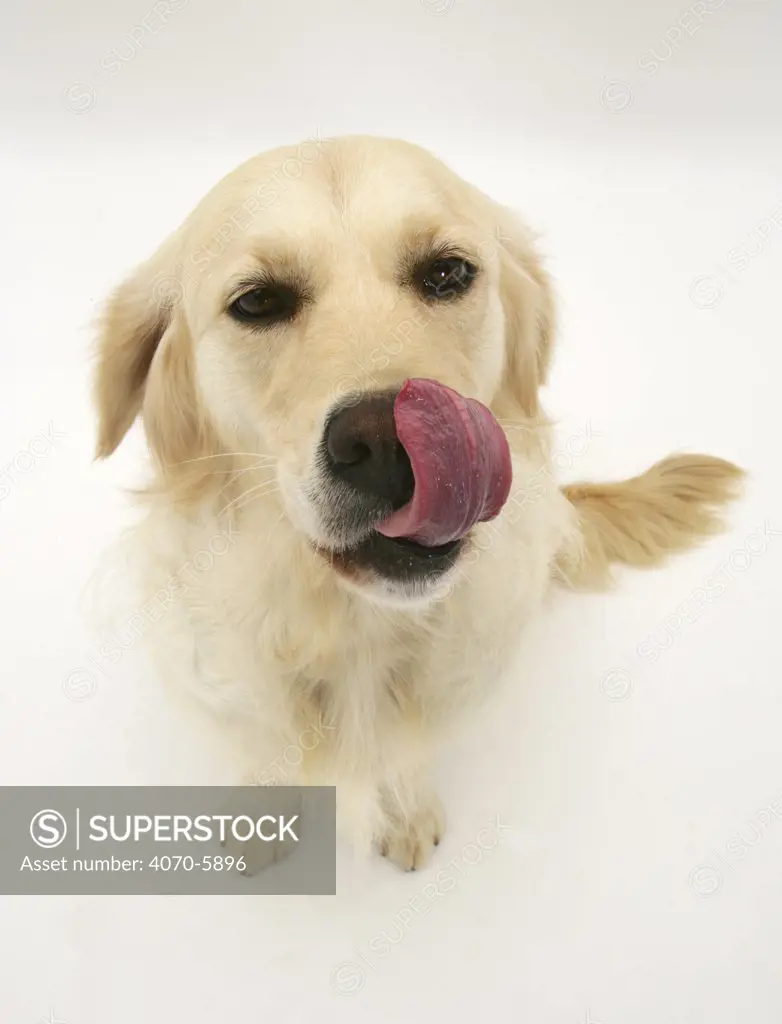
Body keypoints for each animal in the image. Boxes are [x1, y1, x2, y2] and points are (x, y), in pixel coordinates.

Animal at [94, 134, 741, 872]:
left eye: (446, 273)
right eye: (256, 302)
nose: (387, 441)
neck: (351, 627)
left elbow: (403, 761)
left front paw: (405, 812)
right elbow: (263, 752)